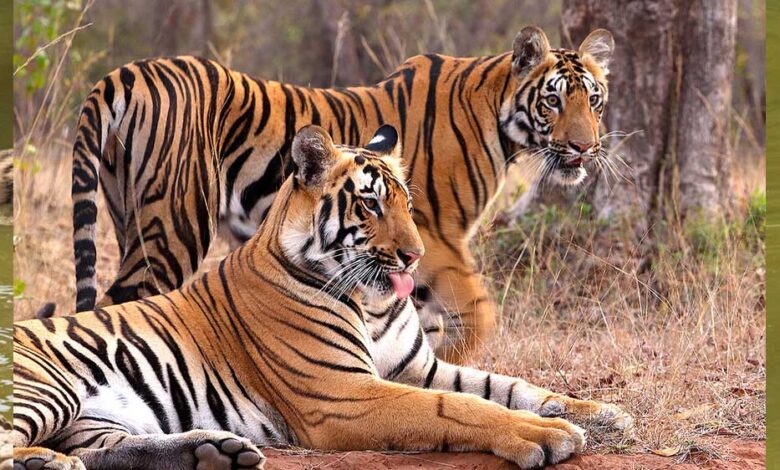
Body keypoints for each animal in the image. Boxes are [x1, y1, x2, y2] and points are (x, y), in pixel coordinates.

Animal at [16, 125, 632, 470]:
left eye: (408, 203)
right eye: (370, 204)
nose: (415, 256)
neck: (372, 302)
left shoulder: (418, 368)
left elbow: (510, 386)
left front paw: (601, 414)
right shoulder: (344, 393)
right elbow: (457, 407)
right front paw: (545, 436)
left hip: (96, 420)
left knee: (102, 451)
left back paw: (211, 453)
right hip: (45, 389)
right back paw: (43, 464)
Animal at [71, 26, 615, 363]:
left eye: (593, 99)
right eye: (553, 100)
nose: (585, 147)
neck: (499, 122)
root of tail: (124, 73)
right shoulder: (436, 240)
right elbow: (479, 314)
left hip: (129, 217)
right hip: (176, 227)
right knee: (123, 305)